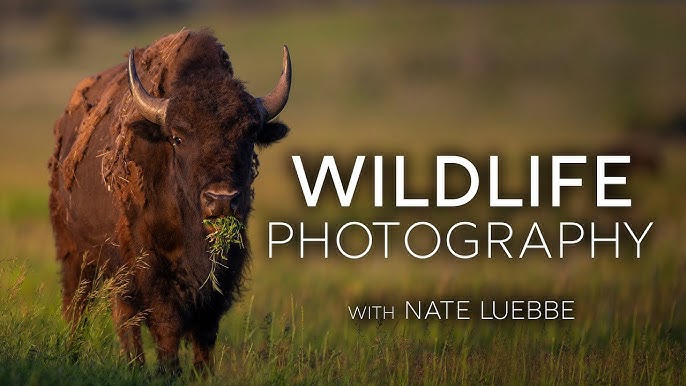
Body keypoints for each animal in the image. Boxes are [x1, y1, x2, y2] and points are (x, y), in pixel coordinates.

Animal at [49, 30, 292, 374]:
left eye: (248, 136)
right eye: (178, 138)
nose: (221, 199)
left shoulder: (222, 273)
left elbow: (205, 331)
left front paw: (201, 374)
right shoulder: (150, 266)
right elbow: (166, 324)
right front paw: (169, 371)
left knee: (122, 314)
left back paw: (134, 365)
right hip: (74, 253)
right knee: (78, 307)